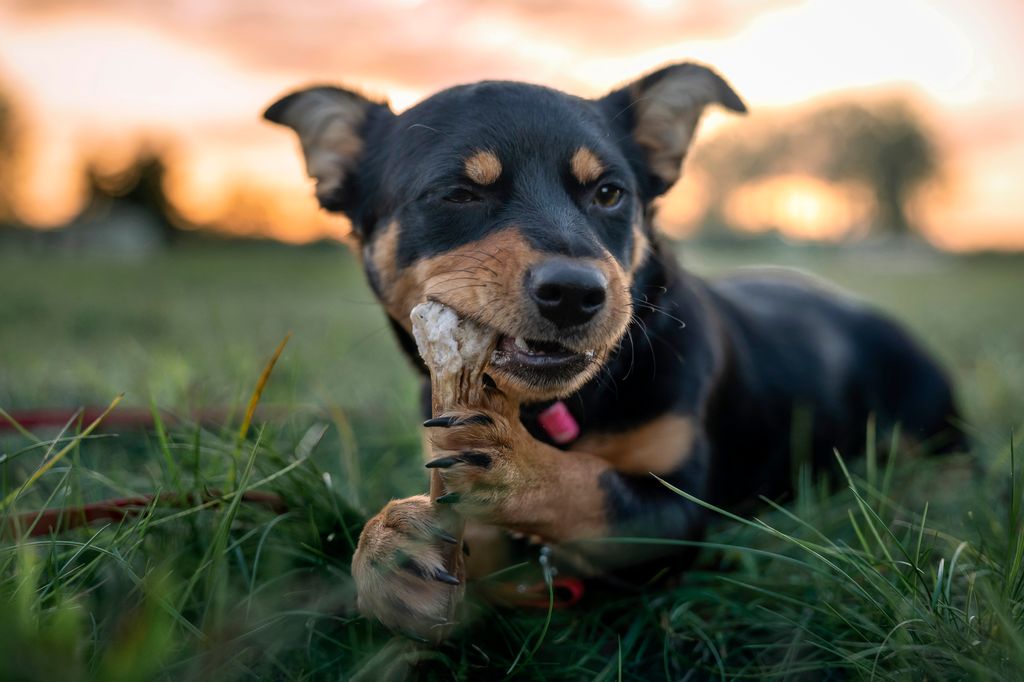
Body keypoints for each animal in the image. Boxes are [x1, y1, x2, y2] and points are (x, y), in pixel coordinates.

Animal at [260, 63, 962, 638]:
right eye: (459, 193)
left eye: (608, 193)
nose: (575, 294)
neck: (567, 409)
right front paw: (391, 546)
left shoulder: (675, 519)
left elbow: (589, 486)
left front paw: (514, 467)